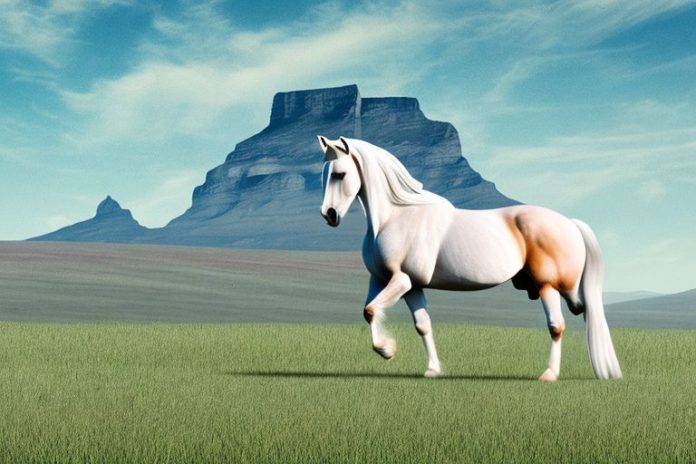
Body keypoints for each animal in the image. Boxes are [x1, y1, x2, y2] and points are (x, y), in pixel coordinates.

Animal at [317, 135, 622, 381]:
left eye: (340, 174)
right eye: (324, 175)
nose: (329, 215)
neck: (395, 217)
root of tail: (570, 223)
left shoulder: (401, 280)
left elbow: (372, 310)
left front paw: (387, 350)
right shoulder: (394, 283)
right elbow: (413, 323)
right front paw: (432, 370)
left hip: (549, 286)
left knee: (558, 325)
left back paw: (549, 375)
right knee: (581, 312)